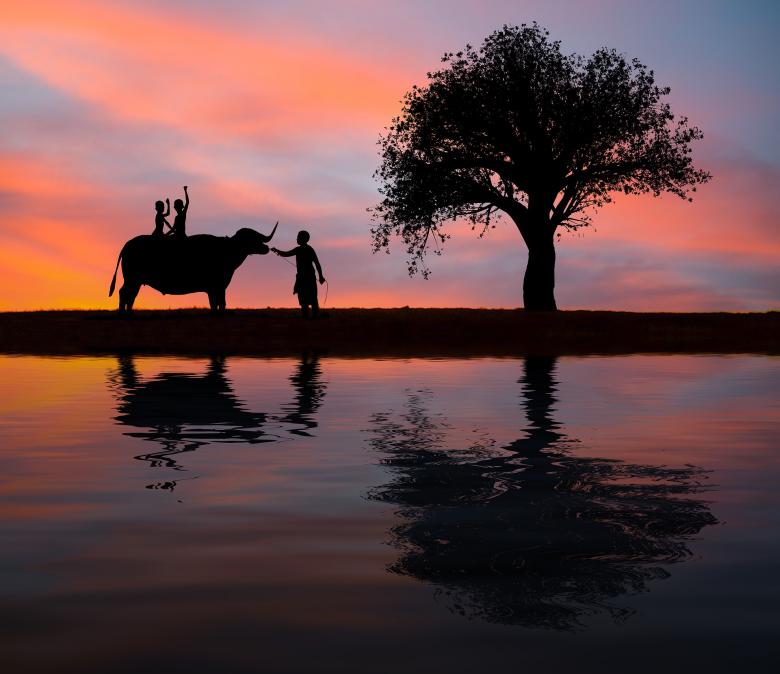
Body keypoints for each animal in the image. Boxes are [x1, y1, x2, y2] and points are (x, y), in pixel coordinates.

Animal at [108, 224, 277, 312]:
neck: (226, 250)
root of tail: (128, 243)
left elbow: (217, 304)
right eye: (250, 237)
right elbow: (219, 304)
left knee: (131, 295)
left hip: (136, 281)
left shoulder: (215, 288)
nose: (266, 247)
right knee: (124, 293)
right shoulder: (216, 287)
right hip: (132, 278)